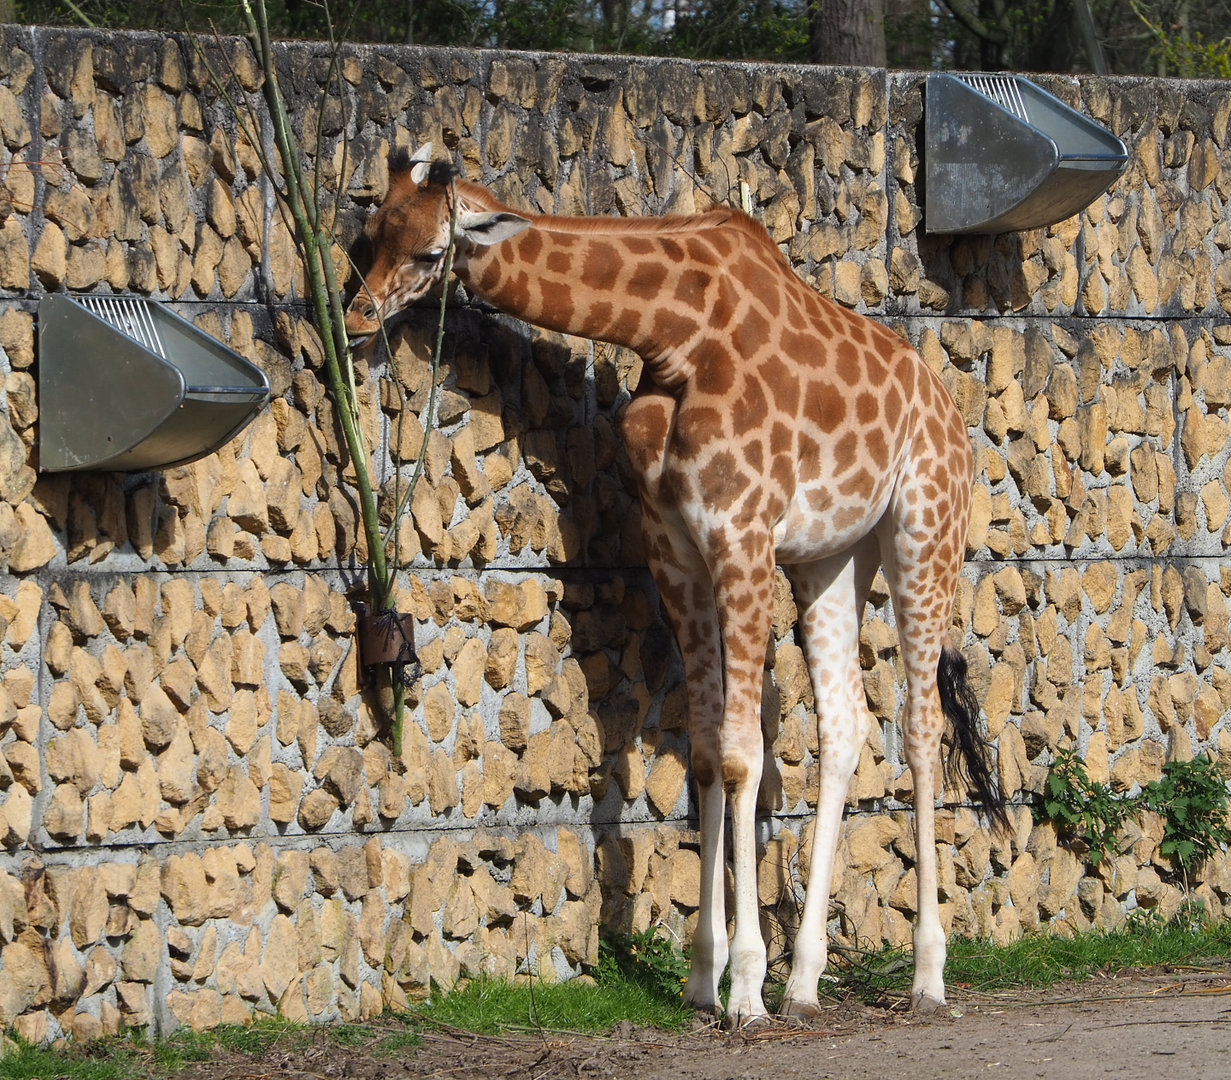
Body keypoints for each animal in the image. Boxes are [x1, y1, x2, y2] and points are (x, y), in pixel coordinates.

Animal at [346, 144, 1007, 1025]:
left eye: (426, 252)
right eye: (368, 237)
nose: (355, 317)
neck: (671, 333)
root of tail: (947, 406)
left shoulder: (741, 535)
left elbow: (739, 757)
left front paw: (745, 989)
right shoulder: (673, 550)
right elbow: (701, 755)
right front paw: (705, 976)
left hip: (923, 532)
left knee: (923, 725)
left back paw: (925, 977)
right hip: (834, 557)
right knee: (844, 724)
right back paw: (805, 982)